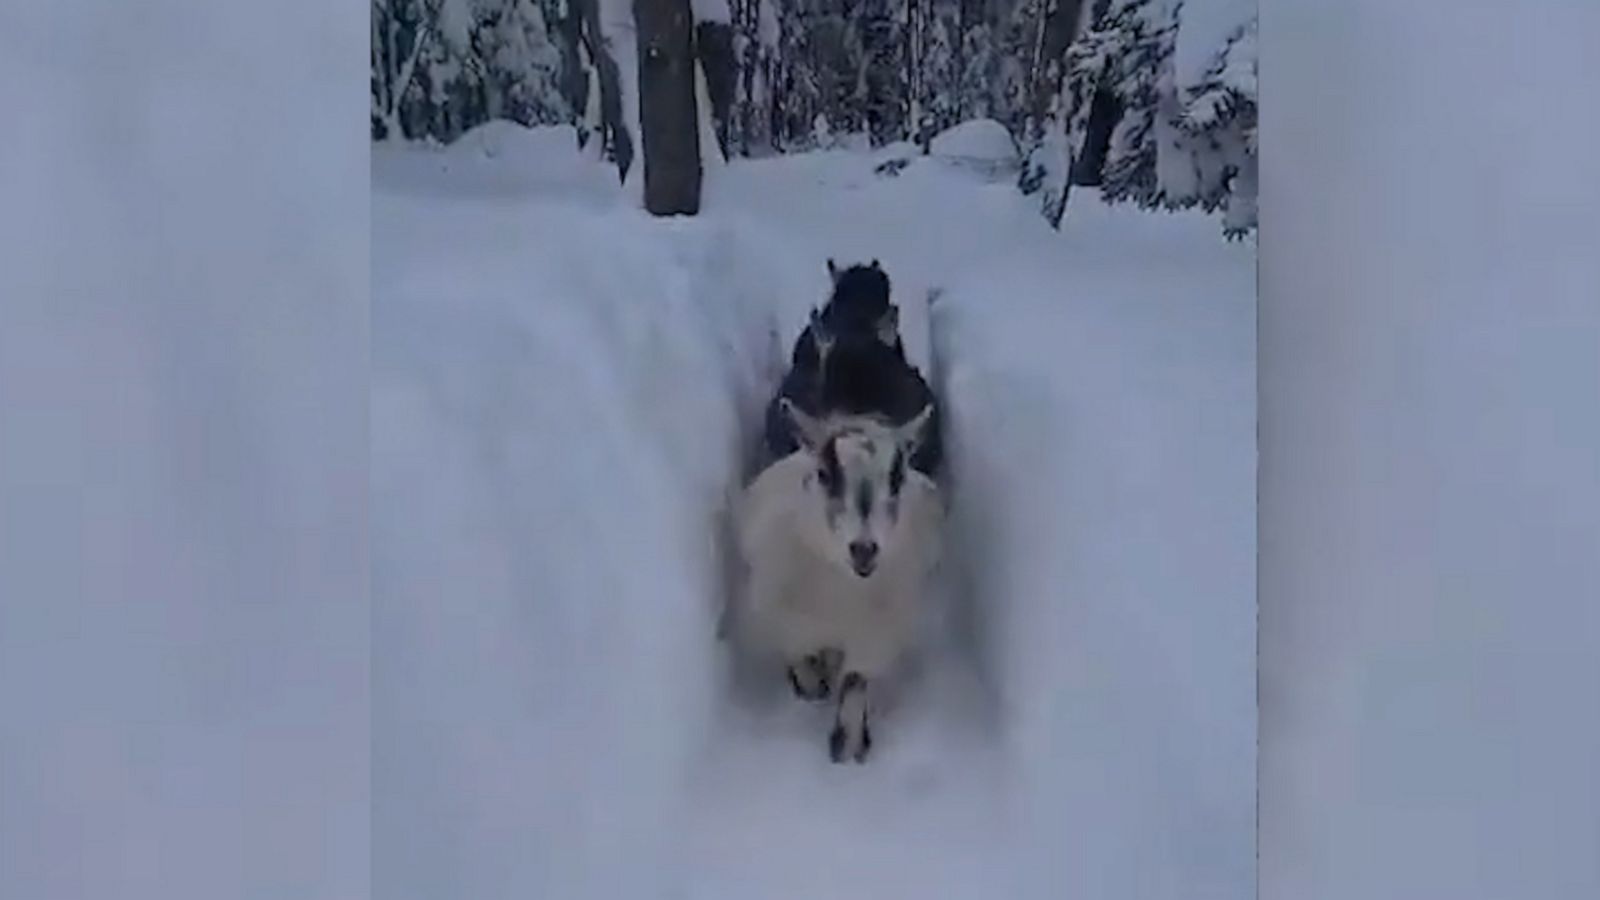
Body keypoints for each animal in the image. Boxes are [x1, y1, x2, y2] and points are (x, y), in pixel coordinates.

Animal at [732, 398, 940, 755]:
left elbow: (854, 684)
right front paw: (812, 689)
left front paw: (849, 748)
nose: (864, 549)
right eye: (823, 474)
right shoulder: (785, 624)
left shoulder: (874, 640)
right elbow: (803, 664)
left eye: (897, 479)